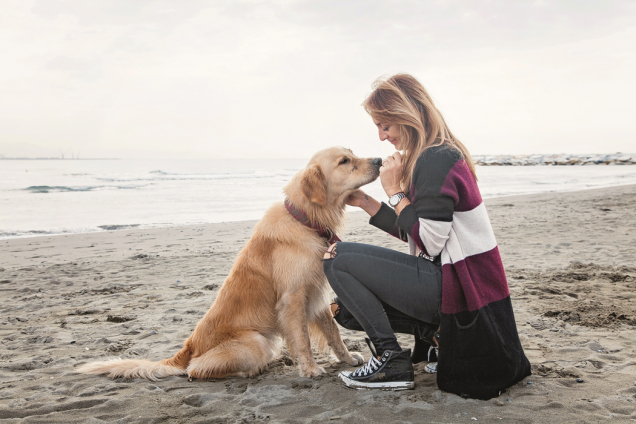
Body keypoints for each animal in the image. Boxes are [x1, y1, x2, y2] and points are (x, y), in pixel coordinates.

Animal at [77, 147, 380, 380]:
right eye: (344, 161)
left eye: (352, 153)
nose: (379, 160)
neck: (305, 219)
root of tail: (189, 347)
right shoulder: (293, 297)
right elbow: (303, 340)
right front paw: (310, 369)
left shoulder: (315, 294)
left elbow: (333, 333)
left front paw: (347, 359)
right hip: (256, 340)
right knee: (195, 370)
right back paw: (248, 370)